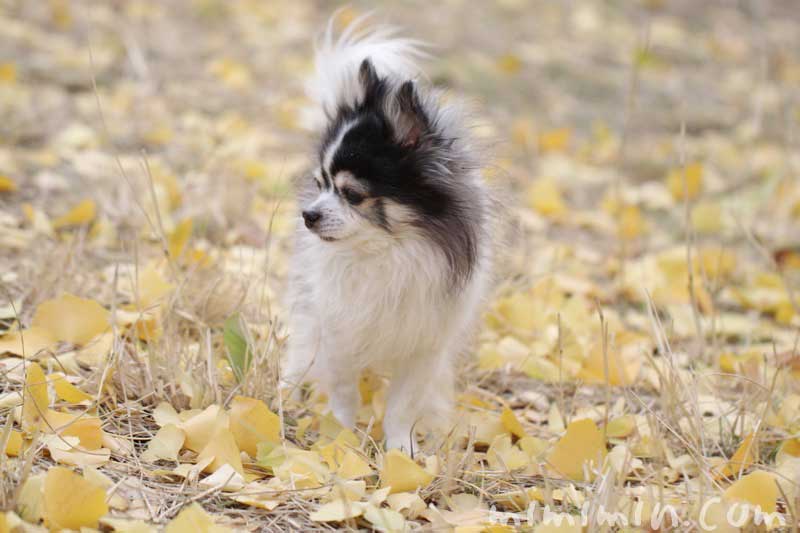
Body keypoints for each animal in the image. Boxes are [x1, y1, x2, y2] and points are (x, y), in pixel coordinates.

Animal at [282, 16, 494, 450]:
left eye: (352, 194)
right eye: (319, 183)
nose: (308, 215)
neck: (386, 254)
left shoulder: (424, 346)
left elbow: (402, 405)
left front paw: (401, 449)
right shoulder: (339, 331)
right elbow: (343, 391)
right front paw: (341, 437)